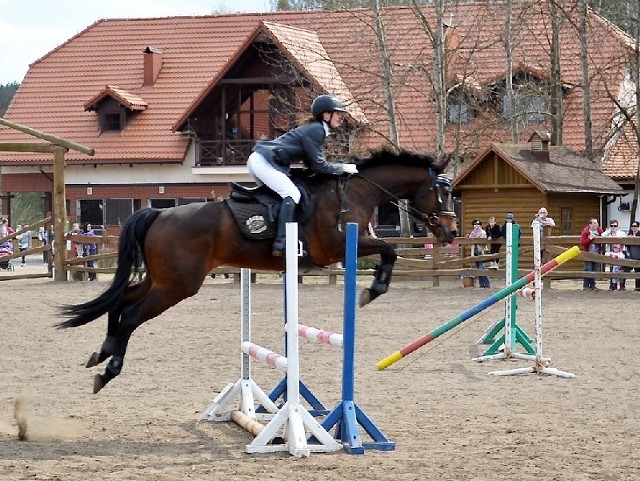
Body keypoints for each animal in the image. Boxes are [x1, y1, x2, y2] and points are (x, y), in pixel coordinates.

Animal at [55, 148, 456, 392]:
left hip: (163, 279)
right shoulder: (337, 247)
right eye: (442, 193)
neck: (354, 192)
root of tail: (158, 212)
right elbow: (388, 250)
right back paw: (109, 369)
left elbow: (388, 250)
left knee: (121, 301)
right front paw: (373, 290)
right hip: (177, 285)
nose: (451, 232)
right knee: (133, 314)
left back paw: (103, 351)